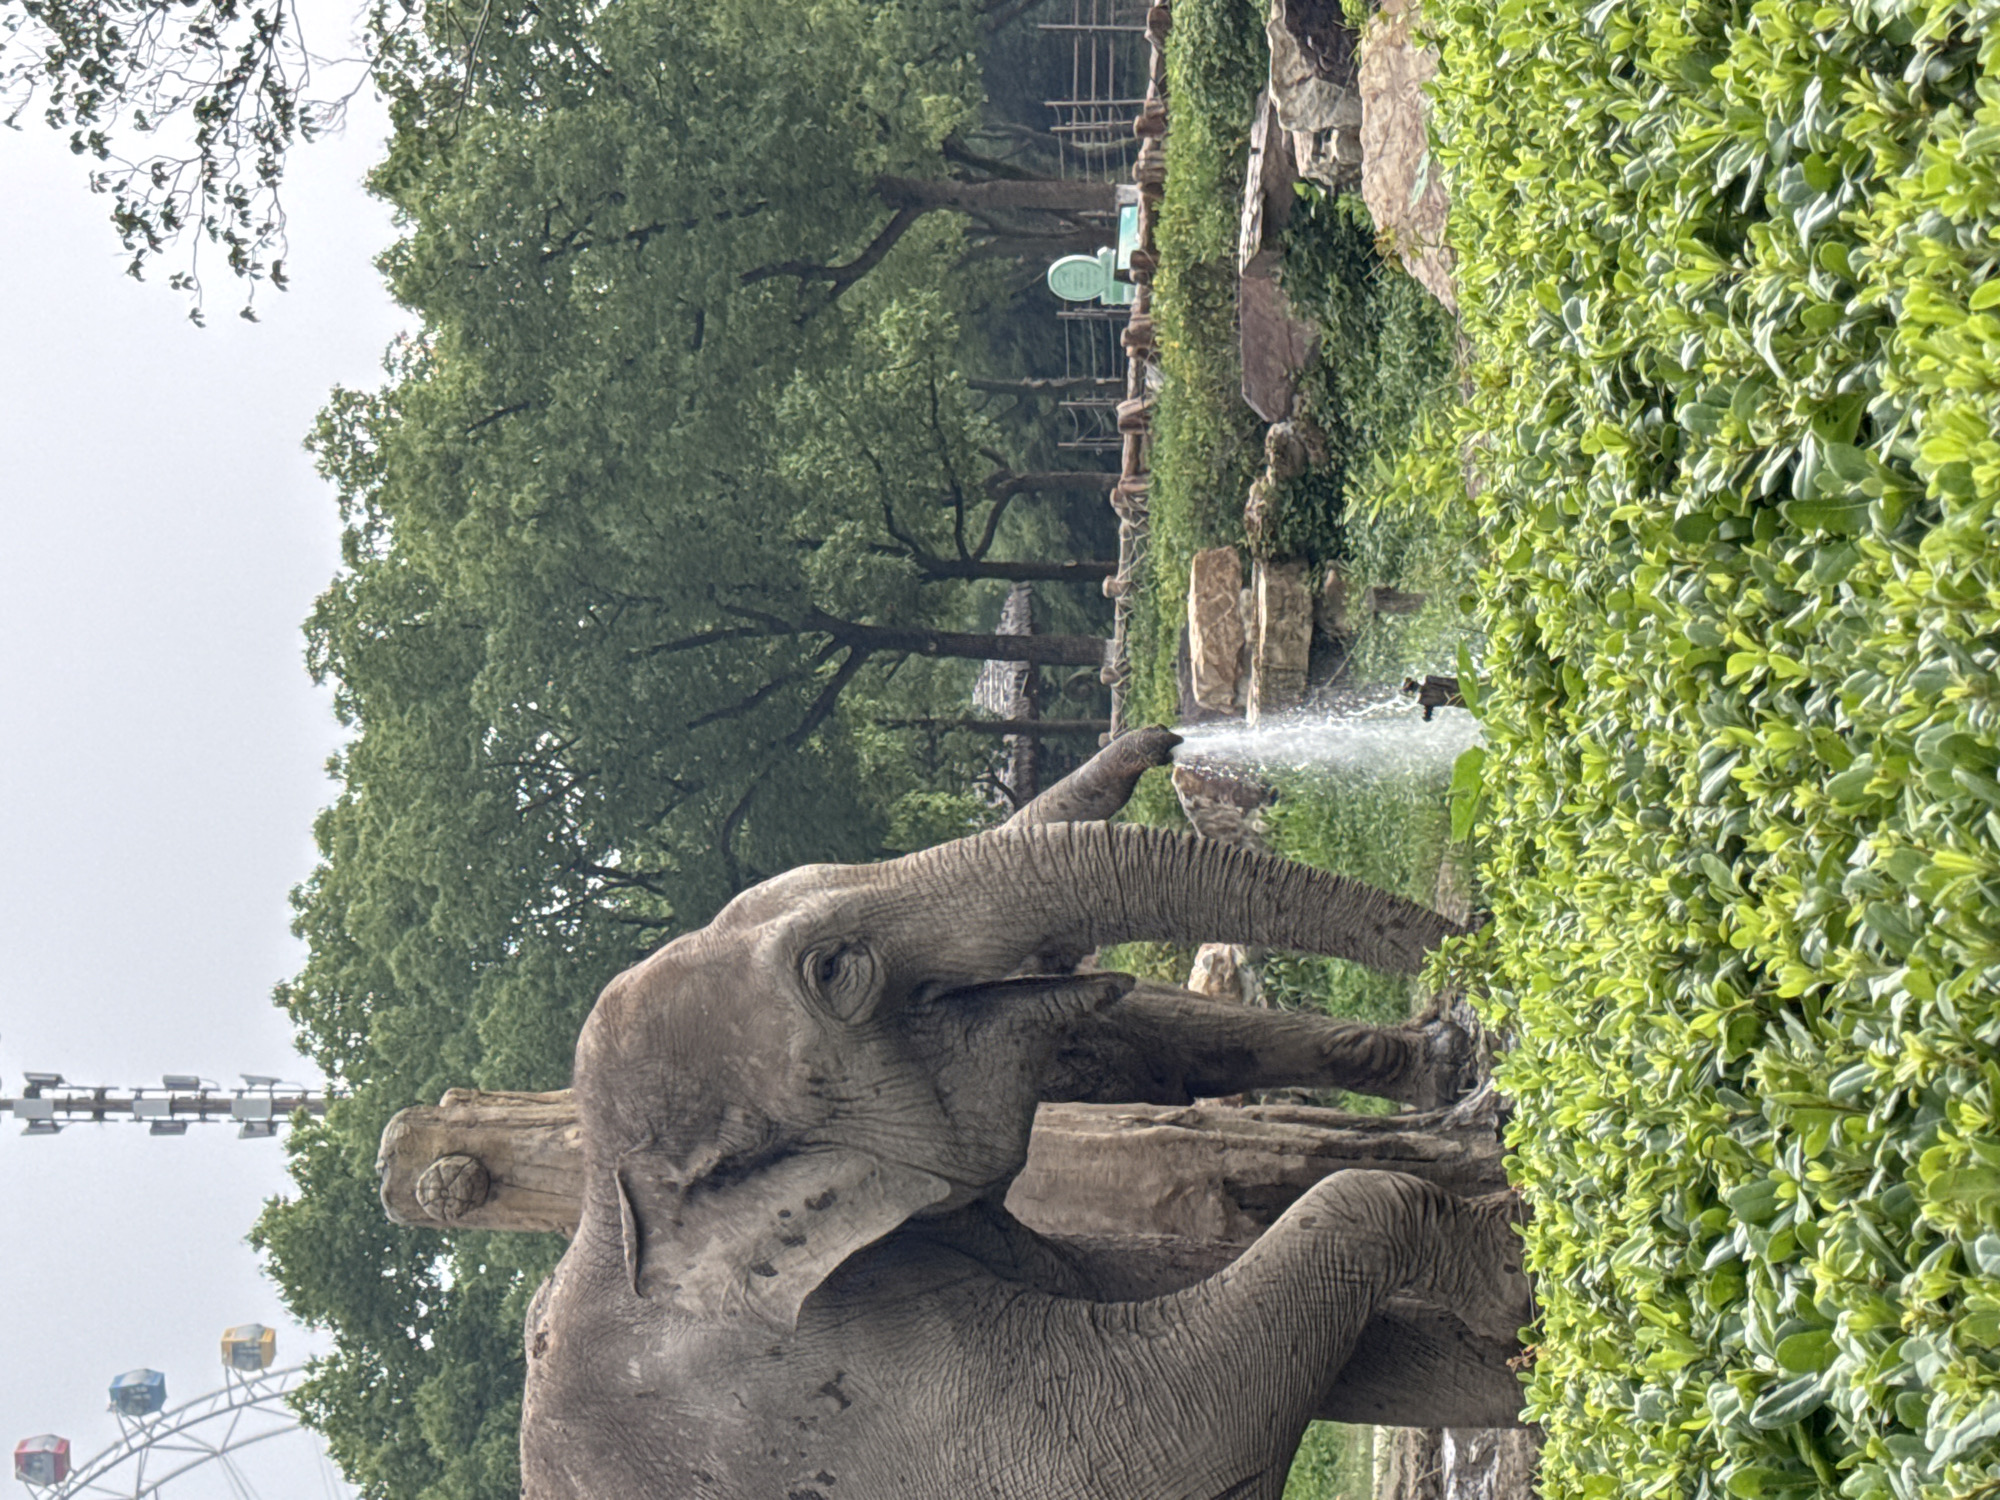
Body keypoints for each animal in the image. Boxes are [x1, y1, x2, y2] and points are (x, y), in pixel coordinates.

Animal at [520, 732, 1533, 1500]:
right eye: (836, 971)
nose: (1479, 961)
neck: (608, 1202)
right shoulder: (808, 1393)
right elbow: (1164, 1433)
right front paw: (1516, 1266)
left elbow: (1363, 1358)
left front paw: (1514, 1350)